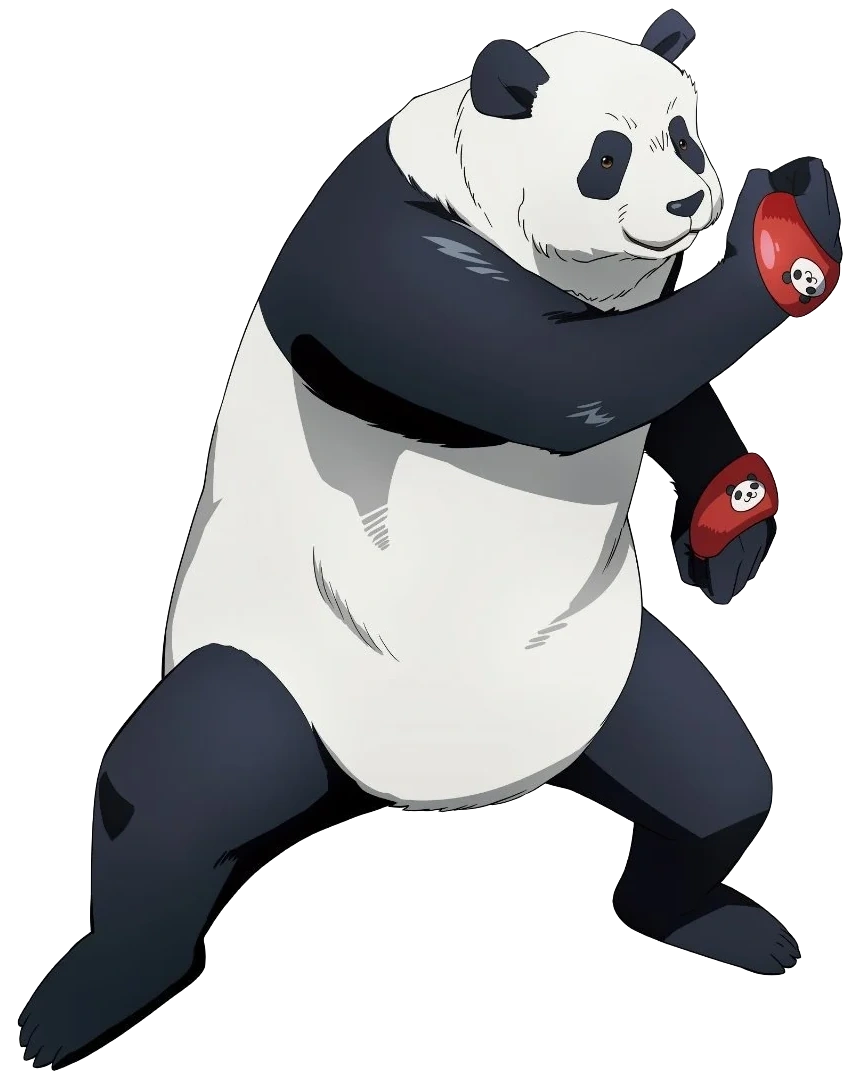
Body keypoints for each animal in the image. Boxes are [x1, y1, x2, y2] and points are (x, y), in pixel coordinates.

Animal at [18, 10, 842, 1069]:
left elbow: (662, 400)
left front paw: (728, 525)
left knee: (714, 784)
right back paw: (90, 993)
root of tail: (389, 793)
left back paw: (707, 918)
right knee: (185, 779)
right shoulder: (392, 262)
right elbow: (567, 381)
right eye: (606, 157)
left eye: (684, 137)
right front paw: (789, 231)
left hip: (608, 681)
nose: (691, 198)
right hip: (290, 669)